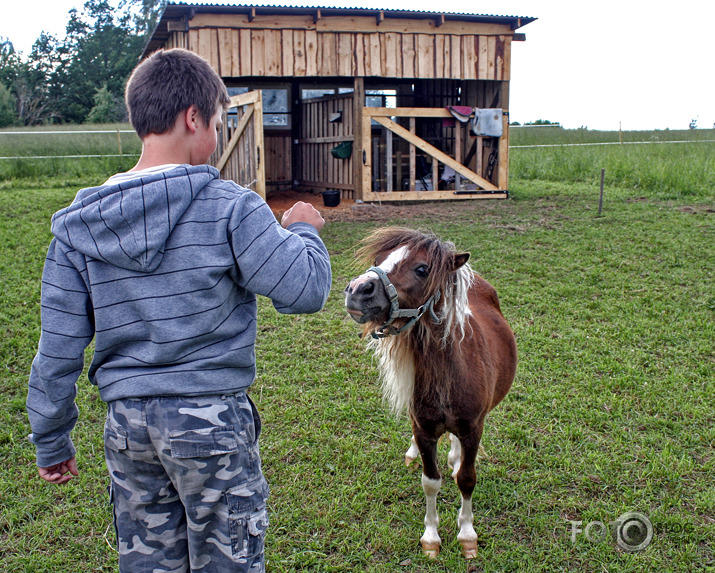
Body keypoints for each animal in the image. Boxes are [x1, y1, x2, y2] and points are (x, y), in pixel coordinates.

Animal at [346, 227, 516, 560]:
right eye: (378, 260)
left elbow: (467, 478)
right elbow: (430, 482)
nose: (358, 289)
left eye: (422, 269)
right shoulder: (424, 430)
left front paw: (467, 535)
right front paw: (431, 538)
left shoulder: (472, 430)